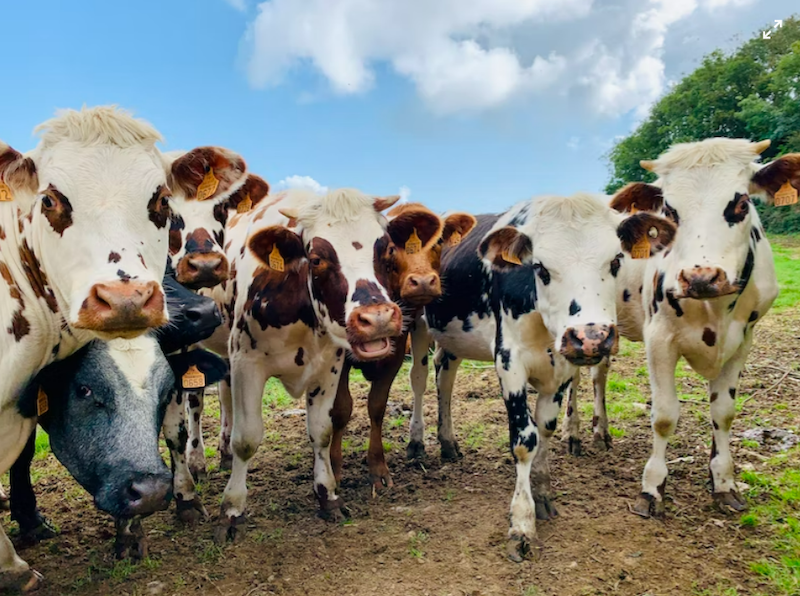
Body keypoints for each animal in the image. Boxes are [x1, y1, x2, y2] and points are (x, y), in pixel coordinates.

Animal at [208, 186, 405, 543]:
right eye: (316, 259)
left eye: (388, 251)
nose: (378, 319)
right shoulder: (246, 362)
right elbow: (247, 439)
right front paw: (231, 510)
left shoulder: (329, 366)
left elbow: (322, 432)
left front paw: (328, 495)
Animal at [330, 204, 477, 491]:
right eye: (391, 248)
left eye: (439, 242)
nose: (423, 281)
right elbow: (341, 408)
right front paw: (334, 470)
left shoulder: (398, 349)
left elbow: (378, 405)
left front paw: (378, 469)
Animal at [406, 193, 676, 560]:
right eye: (540, 267)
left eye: (616, 262)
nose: (590, 336)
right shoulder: (508, 361)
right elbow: (525, 440)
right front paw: (521, 522)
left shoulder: (562, 368)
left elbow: (545, 428)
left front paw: (543, 492)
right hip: (417, 323)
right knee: (419, 378)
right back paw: (417, 442)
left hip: (452, 338)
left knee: (444, 376)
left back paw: (448, 442)